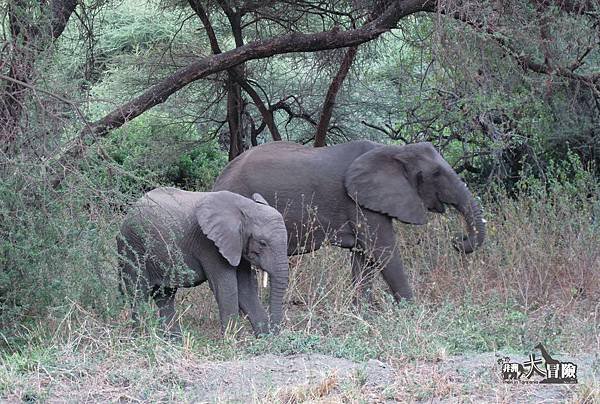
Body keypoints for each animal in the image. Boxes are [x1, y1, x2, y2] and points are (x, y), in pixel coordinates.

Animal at [118, 188, 290, 336]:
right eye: (262, 243)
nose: (276, 333)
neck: (245, 206)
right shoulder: (209, 244)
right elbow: (226, 287)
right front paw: (234, 341)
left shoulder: (236, 245)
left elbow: (245, 288)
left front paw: (264, 338)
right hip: (132, 245)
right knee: (139, 291)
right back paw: (141, 337)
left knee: (165, 295)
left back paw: (174, 340)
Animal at [213, 140, 486, 302]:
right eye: (436, 174)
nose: (459, 241)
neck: (394, 151)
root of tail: (220, 178)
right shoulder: (359, 202)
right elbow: (383, 250)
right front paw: (410, 310)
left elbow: (364, 258)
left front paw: (362, 313)